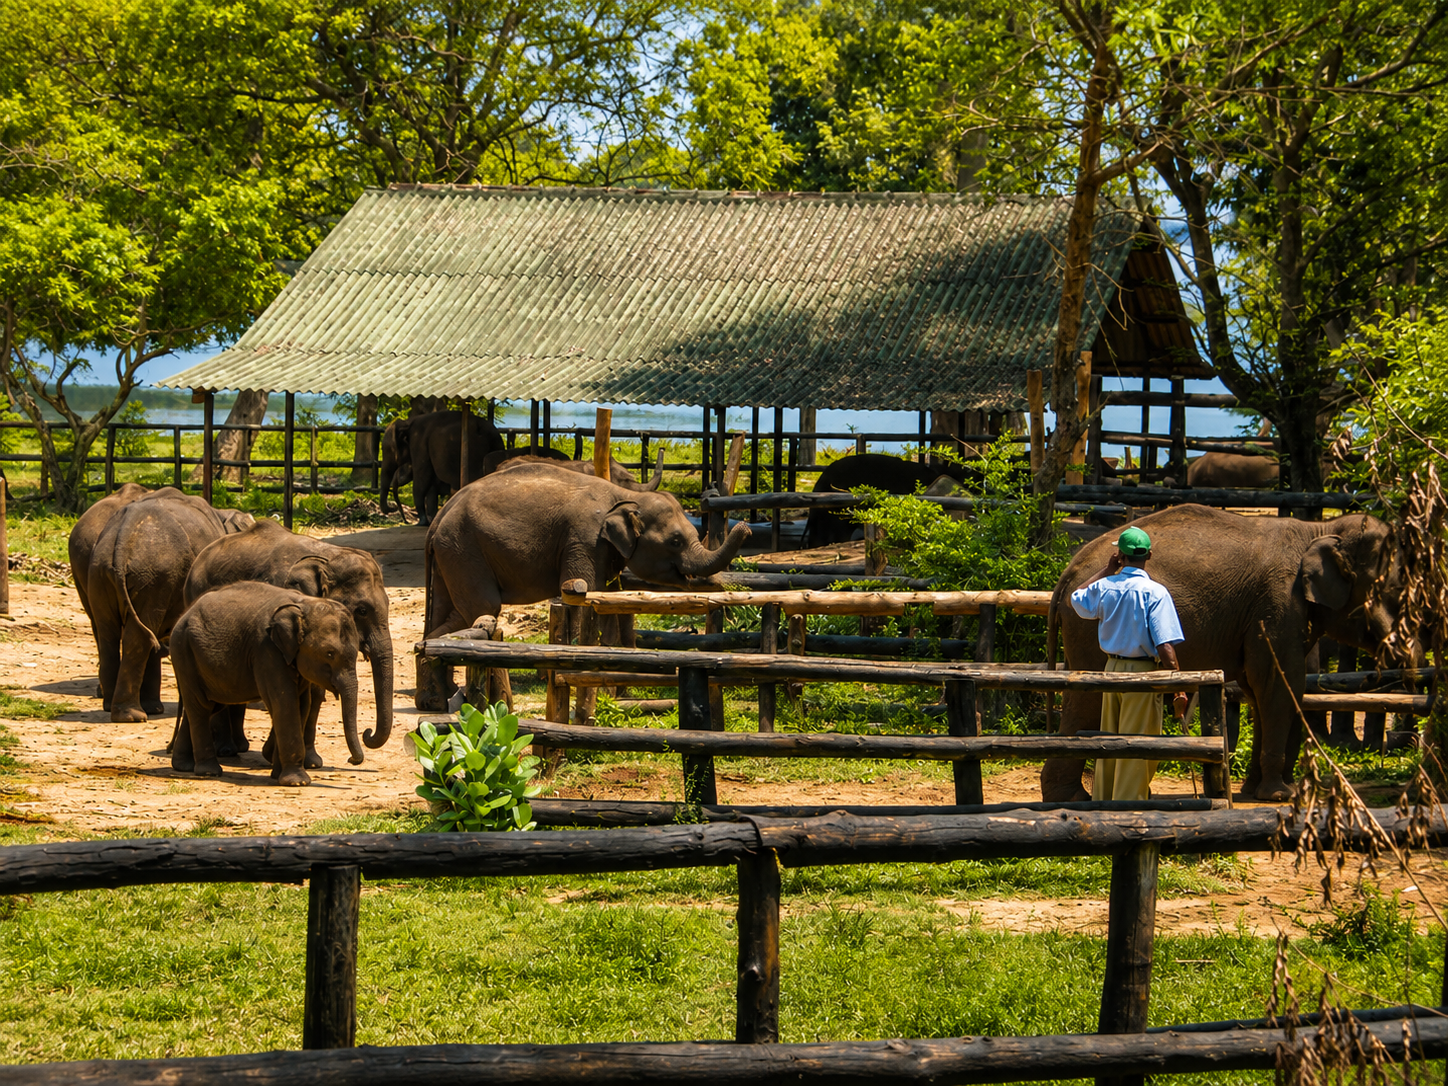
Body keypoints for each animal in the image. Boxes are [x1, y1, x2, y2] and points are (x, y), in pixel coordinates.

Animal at [85, 491, 255, 722]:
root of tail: (121, 541)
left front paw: (155, 709)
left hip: (102, 574)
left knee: (109, 633)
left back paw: (111, 706)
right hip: (154, 577)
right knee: (138, 637)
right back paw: (132, 716)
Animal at [170, 582, 363, 785]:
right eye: (329, 654)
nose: (351, 760)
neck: (304, 604)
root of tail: (183, 615)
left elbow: (301, 704)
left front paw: (278, 776)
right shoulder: (266, 650)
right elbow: (284, 702)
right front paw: (297, 782)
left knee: (206, 706)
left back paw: (183, 766)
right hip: (183, 652)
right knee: (201, 706)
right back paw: (209, 772)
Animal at [183, 517, 396, 762]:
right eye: (361, 610)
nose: (367, 733)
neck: (328, 556)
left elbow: (314, 689)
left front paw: (312, 762)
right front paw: (273, 756)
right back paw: (226, 750)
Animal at [415, 464, 751, 708]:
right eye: (676, 541)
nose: (746, 528)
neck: (624, 496)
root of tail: (437, 521)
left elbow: (610, 599)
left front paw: (620, 690)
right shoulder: (584, 538)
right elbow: (585, 591)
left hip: (452, 554)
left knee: (448, 615)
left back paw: (435, 695)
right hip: (464, 550)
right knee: (483, 608)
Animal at [1042, 504, 1405, 802]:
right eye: (1393, 589)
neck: (1319, 529)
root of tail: (1066, 577)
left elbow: (1257, 689)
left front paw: (1257, 791)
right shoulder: (1277, 605)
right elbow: (1279, 681)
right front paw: (1279, 796)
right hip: (1088, 632)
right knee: (1088, 700)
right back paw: (1073, 800)